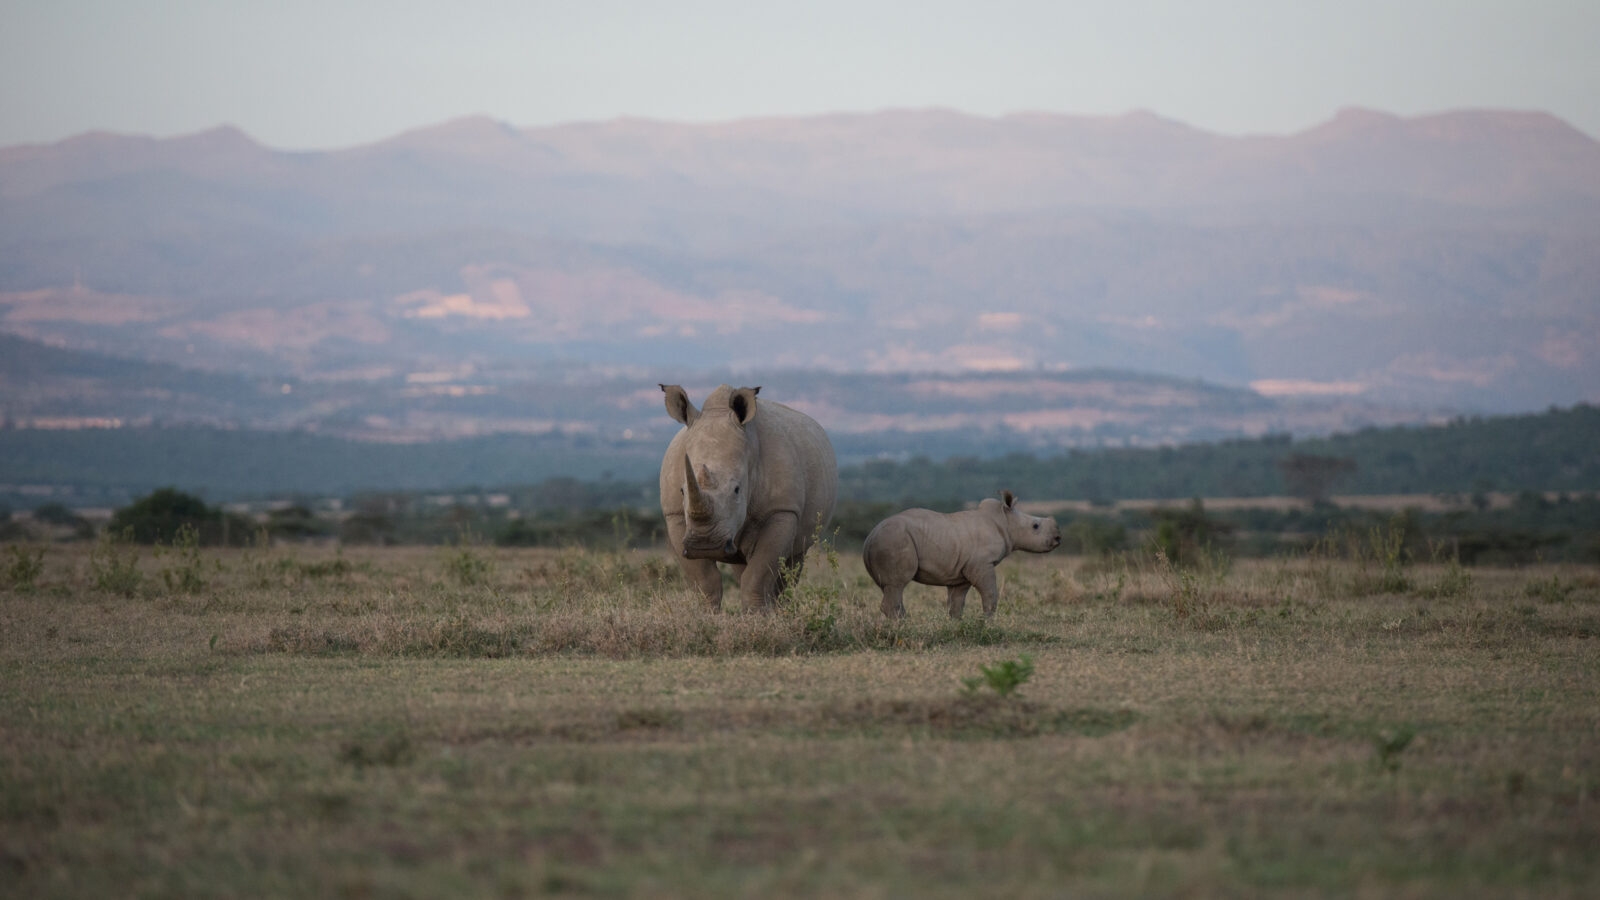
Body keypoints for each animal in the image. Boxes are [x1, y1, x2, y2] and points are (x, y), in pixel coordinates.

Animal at [659, 384, 838, 612]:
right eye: (682, 491)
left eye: (737, 490)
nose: (705, 545)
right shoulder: (675, 515)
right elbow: (704, 580)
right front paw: (704, 614)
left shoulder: (782, 510)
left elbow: (758, 574)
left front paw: (758, 616)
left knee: (794, 560)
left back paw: (781, 610)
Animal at [863, 491, 1061, 619]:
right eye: (1035, 526)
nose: (1058, 538)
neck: (1005, 521)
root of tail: (870, 537)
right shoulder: (982, 564)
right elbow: (990, 594)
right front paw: (988, 623)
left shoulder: (961, 573)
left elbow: (956, 604)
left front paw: (956, 626)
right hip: (895, 540)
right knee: (897, 585)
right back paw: (903, 627)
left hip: (887, 541)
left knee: (889, 587)